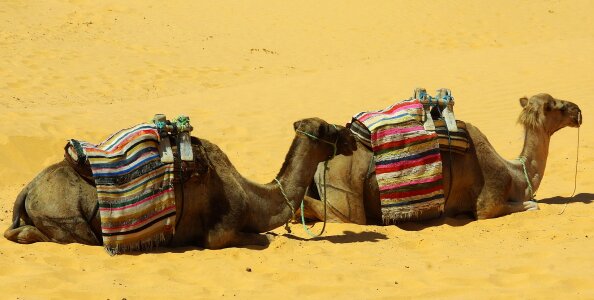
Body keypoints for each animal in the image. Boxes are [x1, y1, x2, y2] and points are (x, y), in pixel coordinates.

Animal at [3, 117, 356, 248]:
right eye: (330, 129)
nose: (352, 135)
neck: (252, 197)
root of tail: (28, 188)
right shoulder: (220, 231)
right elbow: (259, 238)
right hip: (66, 217)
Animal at [302, 94, 580, 225]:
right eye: (556, 105)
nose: (578, 110)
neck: (515, 174)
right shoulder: (487, 205)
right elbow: (533, 205)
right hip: (344, 193)